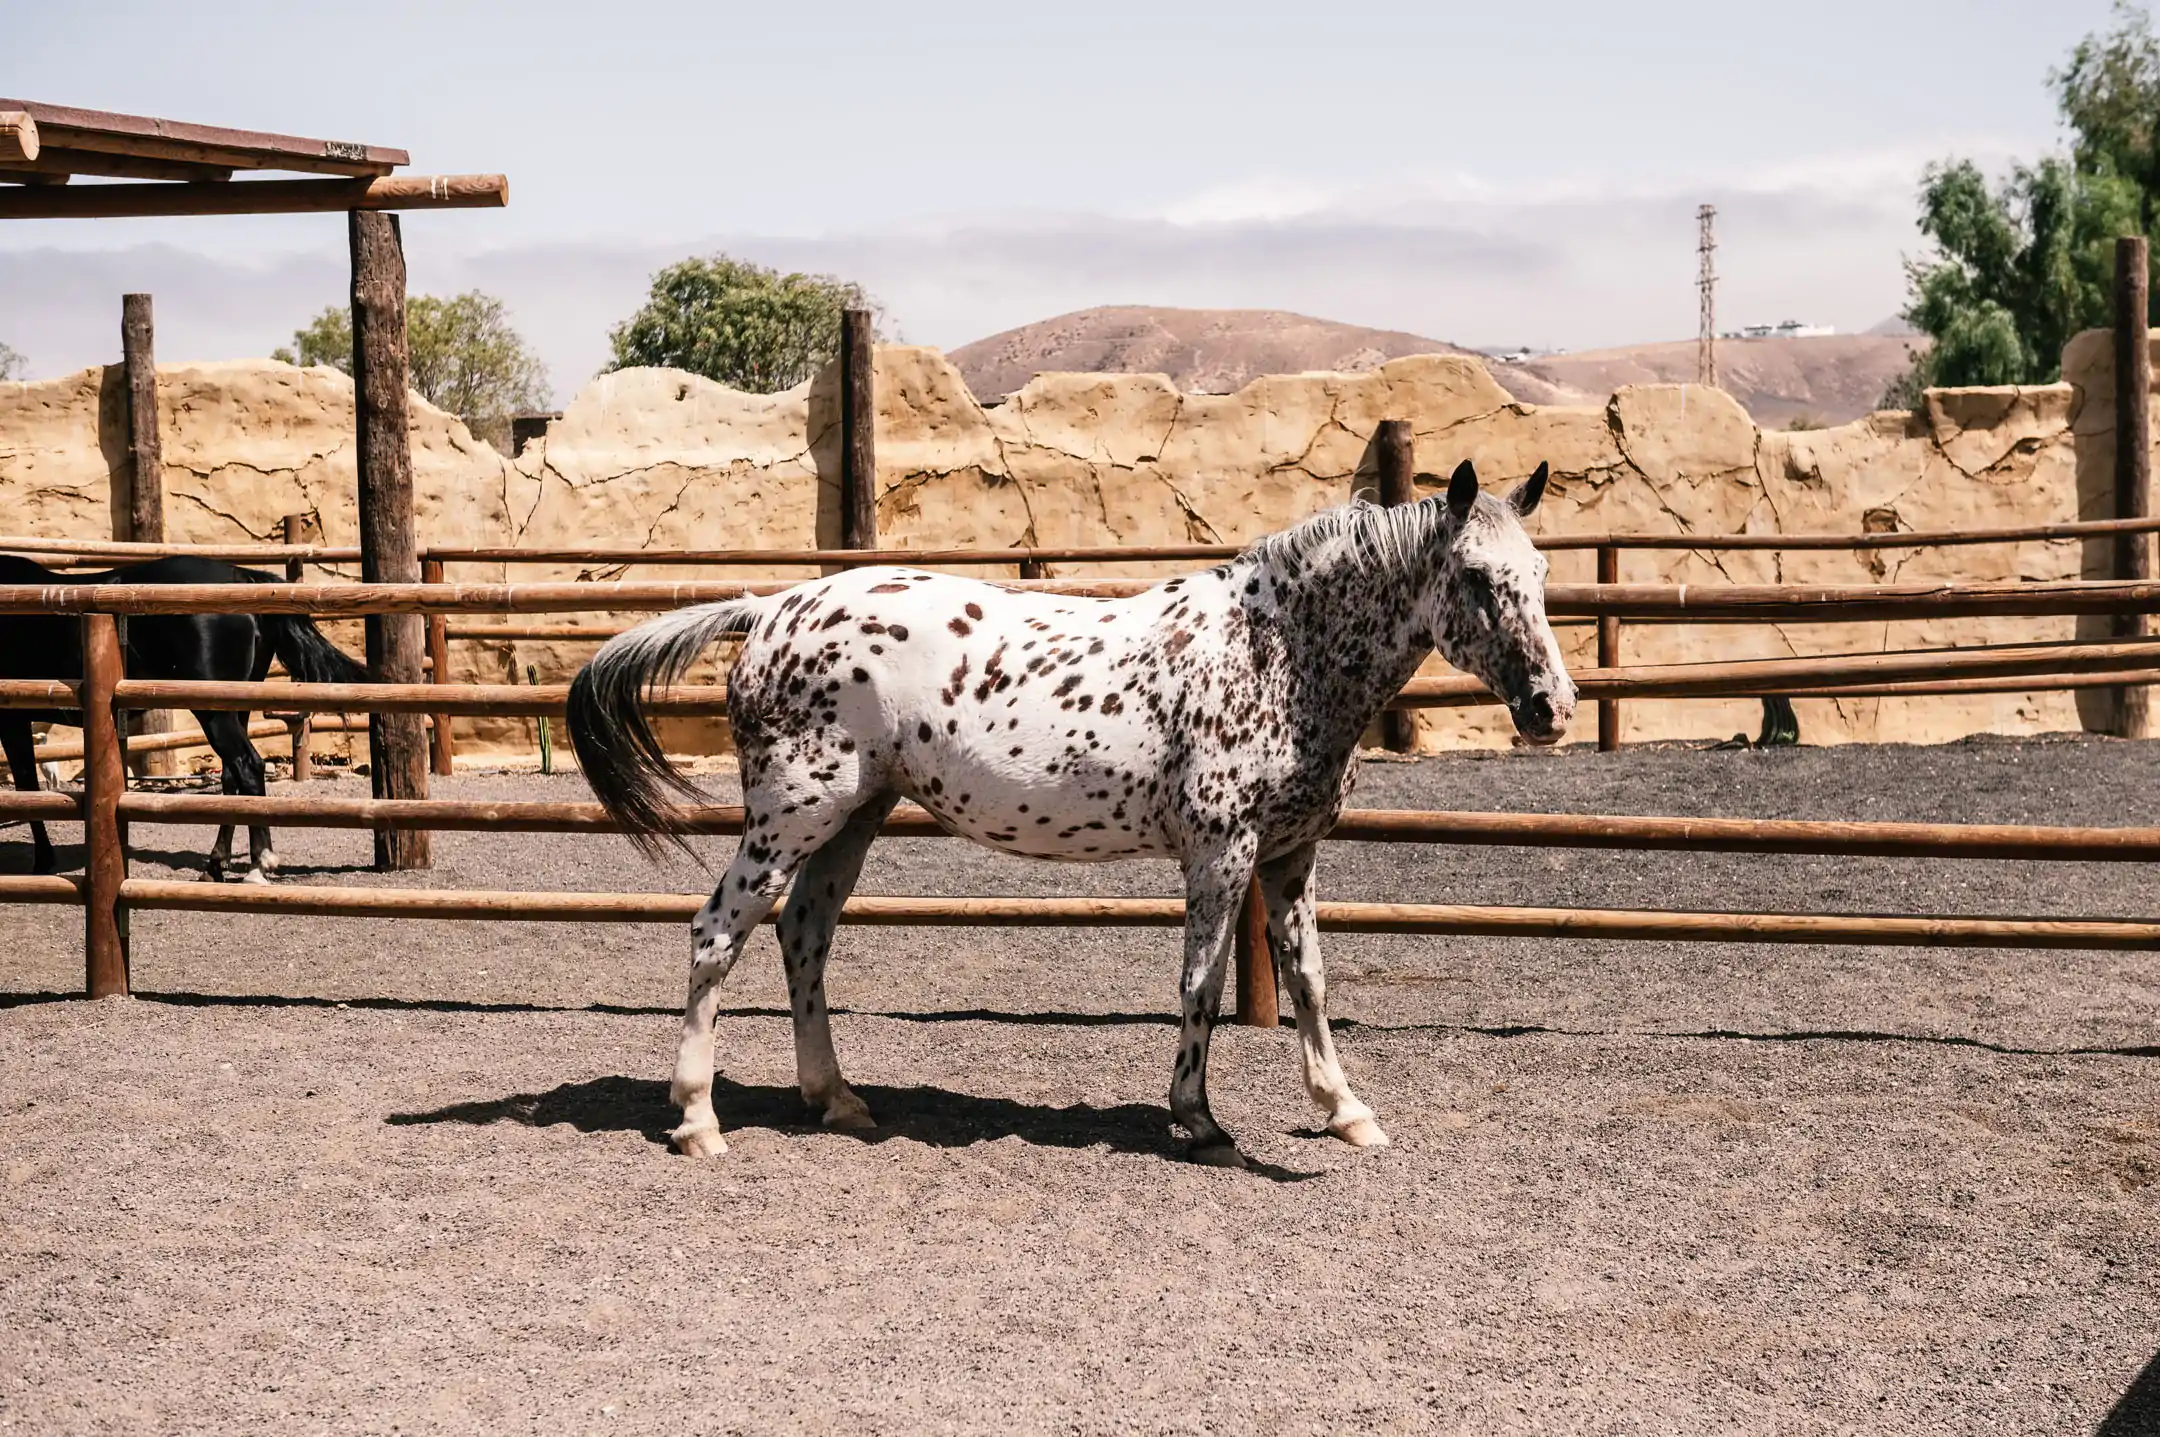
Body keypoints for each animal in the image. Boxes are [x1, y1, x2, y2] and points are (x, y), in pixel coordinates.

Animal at [0, 553, 367, 881]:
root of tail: (239, 576)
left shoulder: (12, 723)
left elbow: (26, 786)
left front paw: (42, 861)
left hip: (213, 712)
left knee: (247, 766)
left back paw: (258, 865)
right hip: (235, 707)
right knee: (232, 775)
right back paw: (215, 865)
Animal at [570, 460, 1589, 1166]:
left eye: (1540, 571)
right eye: (1474, 577)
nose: (1552, 707)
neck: (1275, 655)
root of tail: (771, 607)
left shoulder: (1291, 856)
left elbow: (1309, 982)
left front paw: (1346, 1112)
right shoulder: (1222, 855)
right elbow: (1201, 984)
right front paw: (1200, 1122)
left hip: (851, 820)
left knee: (803, 937)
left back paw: (838, 1099)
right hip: (789, 818)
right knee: (717, 934)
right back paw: (698, 1120)